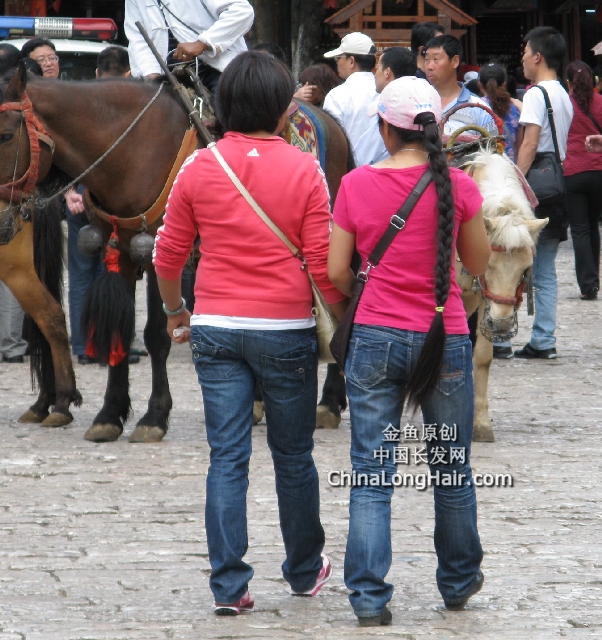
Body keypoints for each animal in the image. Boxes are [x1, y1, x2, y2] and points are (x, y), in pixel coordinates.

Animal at [0, 65, 352, 442]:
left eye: (5, 135)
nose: (3, 220)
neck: (130, 150)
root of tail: (326, 118)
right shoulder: (122, 250)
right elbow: (122, 330)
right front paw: (109, 414)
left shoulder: (161, 252)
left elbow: (157, 335)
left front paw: (153, 417)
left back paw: (329, 403)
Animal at [458, 149, 548, 440]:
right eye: (488, 263)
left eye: (525, 268)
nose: (502, 324)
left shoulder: (484, 303)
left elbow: (482, 357)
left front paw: (481, 424)